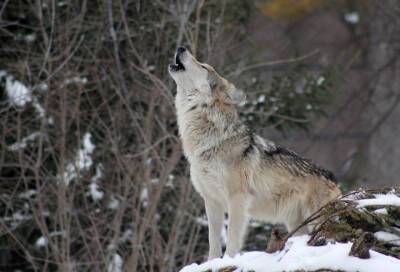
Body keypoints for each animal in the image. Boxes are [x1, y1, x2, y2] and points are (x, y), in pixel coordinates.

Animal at [168, 46, 340, 260]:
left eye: (203, 66)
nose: (181, 47)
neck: (209, 143)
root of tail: (333, 177)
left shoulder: (237, 199)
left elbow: (232, 238)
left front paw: (229, 260)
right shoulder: (211, 201)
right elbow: (213, 241)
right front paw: (212, 262)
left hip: (315, 219)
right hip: (296, 225)